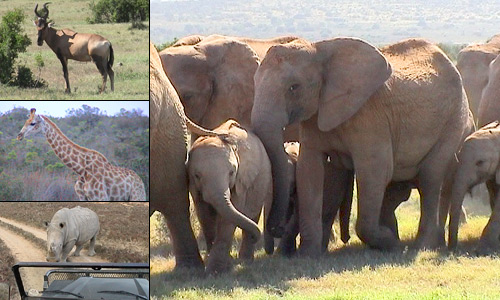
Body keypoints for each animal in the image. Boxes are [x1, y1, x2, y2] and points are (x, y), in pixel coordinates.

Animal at [17, 108, 146, 202]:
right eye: (26, 122)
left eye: (33, 123)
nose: (19, 135)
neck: (81, 170)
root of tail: (141, 181)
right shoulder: (82, 197)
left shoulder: (101, 197)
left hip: (136, 196)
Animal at [188, 119, 272, 274]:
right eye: (197, 175)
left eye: (232, 173)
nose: (256, 237)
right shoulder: (193, 185)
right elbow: (204, 214)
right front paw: (214, 264)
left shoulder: (241, 180)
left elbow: (228, 217)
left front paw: (217, 270)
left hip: (262, 178)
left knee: (253, 212)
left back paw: (245, 260)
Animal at [254, 37, 472, 255]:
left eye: (294, 87)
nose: (278, 228)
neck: (318, 50)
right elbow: (310, 170)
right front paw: (309, 255)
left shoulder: (370, 116)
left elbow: (375, 170)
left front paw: (392, 244)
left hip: (455, 120)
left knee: (431, 178)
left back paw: (420, 245)